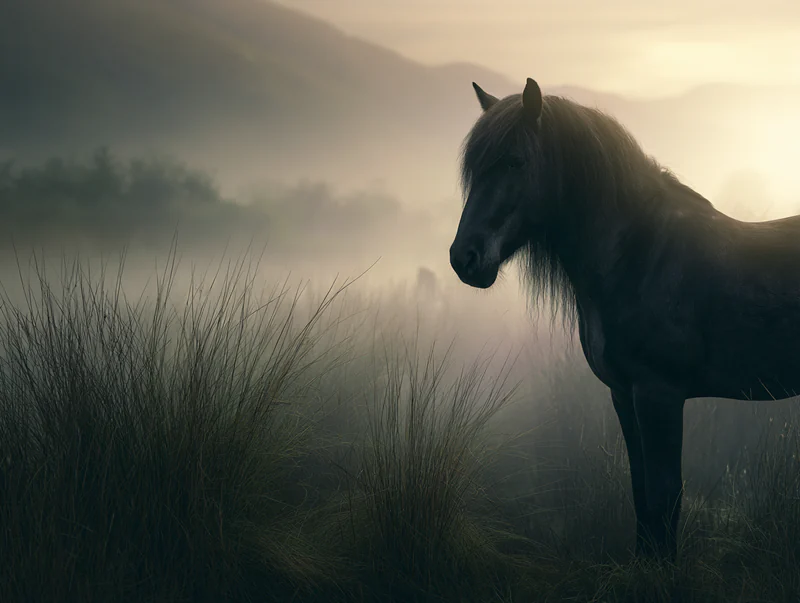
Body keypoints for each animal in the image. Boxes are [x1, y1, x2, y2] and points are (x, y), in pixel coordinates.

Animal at [449, 77, 800, 559]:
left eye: (515, 161)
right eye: (474, 169)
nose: (464, 258)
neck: (640, 255)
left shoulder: (659, 396)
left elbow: (665, 495)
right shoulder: (623, 395)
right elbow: (641, 496)